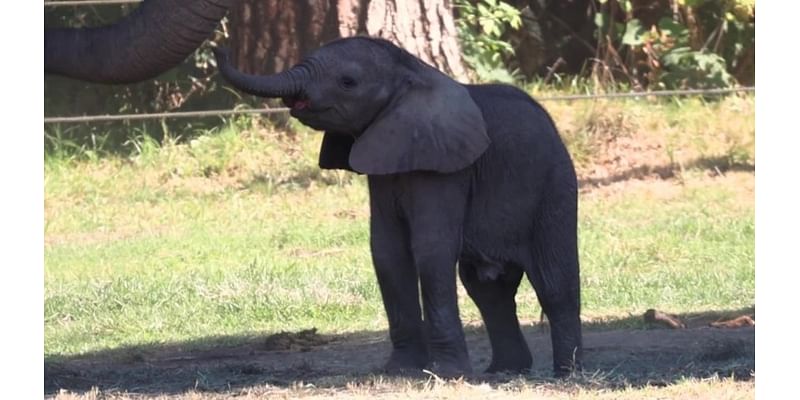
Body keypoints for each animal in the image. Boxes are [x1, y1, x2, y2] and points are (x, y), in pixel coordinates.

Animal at [216, 37, 584, 378]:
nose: (222, 45)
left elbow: (431, 250)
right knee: (489, 291)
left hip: (554, 187)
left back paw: (567, 374)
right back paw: (505, 371)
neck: (410, 72)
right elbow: (387, 251)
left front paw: (447, 374)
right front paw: (400, 370)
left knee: (554, 283)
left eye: (348, 82)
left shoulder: (446, 166)